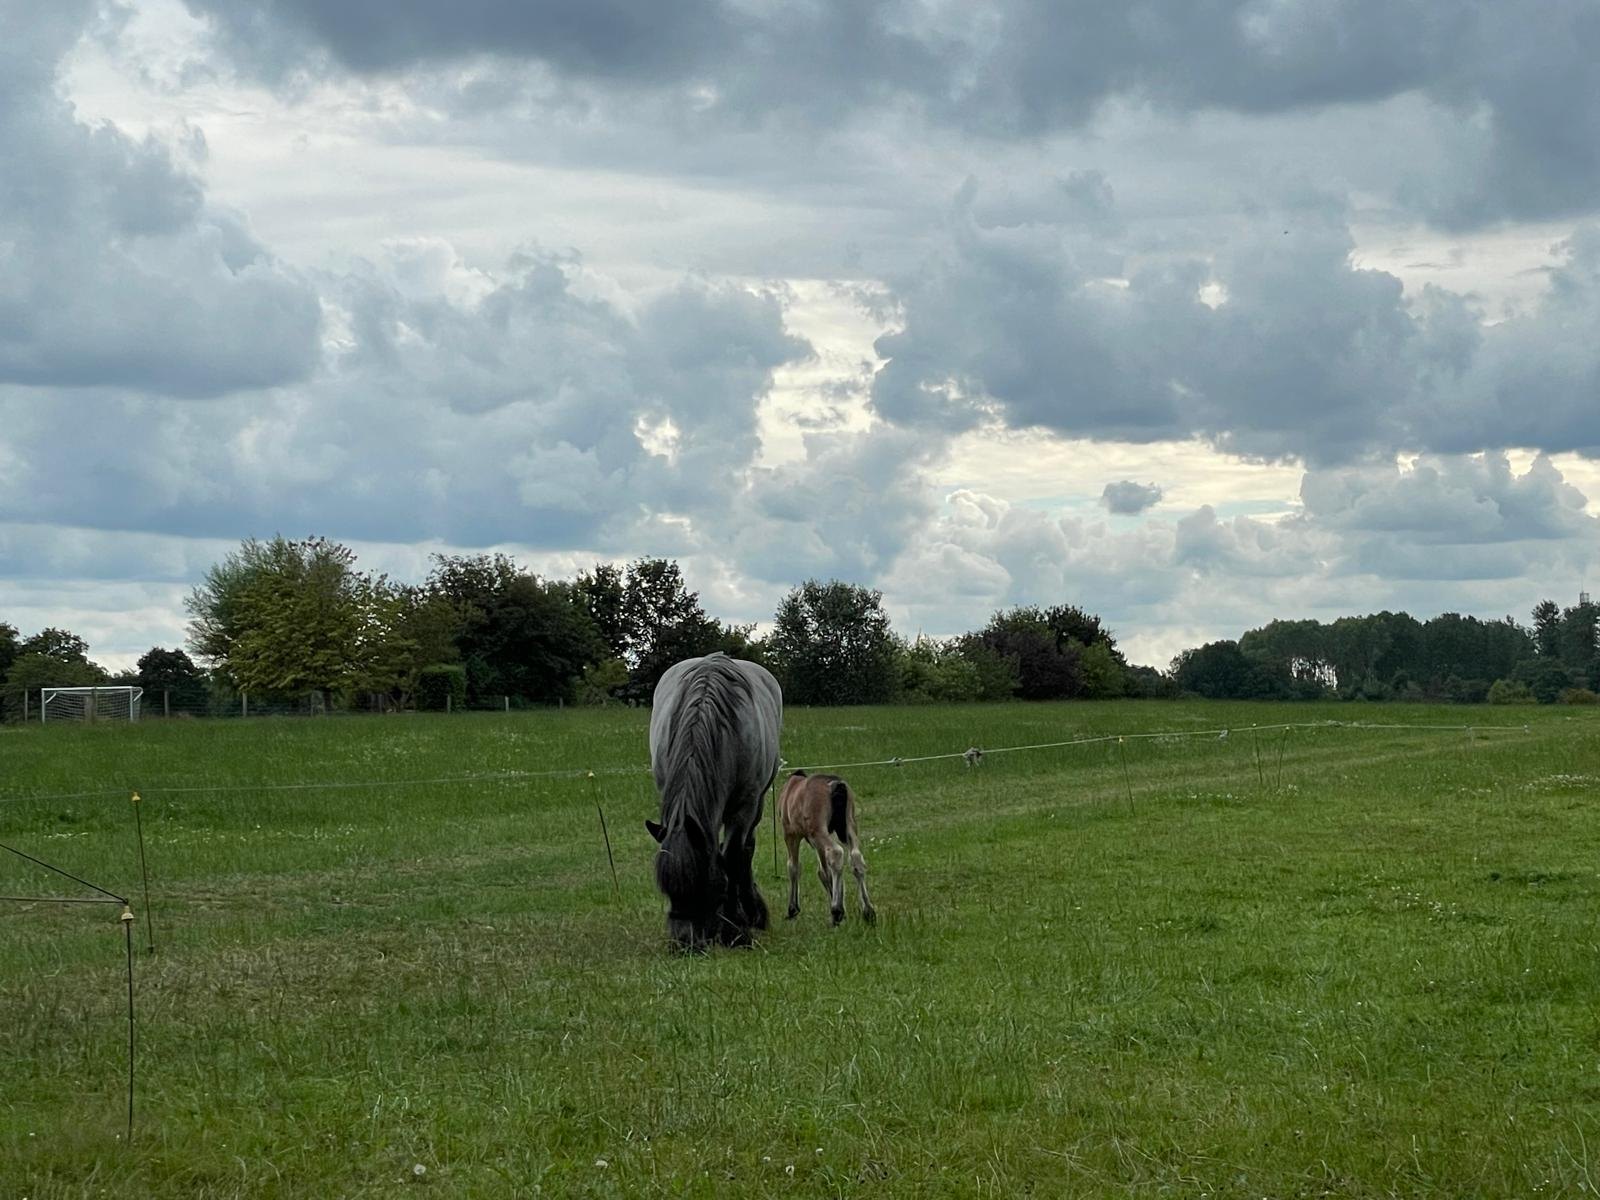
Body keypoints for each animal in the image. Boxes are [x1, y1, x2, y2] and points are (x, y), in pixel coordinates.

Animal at [646, 653, 782, 951]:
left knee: (745, 851)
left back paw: (751, 913)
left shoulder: (745, 806)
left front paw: (734, 929)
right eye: (667, 888)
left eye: (701, 885)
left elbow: (732, 858)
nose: (685, 943)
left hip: (757, 804)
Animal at [778, 770, 876, 926]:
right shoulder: (816, 843)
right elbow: (823, 871)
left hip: (818, 830)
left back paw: (836, 910)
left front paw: (793, 908)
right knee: (855, 857)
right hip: (848, 825)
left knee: (836, 853)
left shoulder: (791, 834)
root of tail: (836, 784)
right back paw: (868, 911)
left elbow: (794, 867)